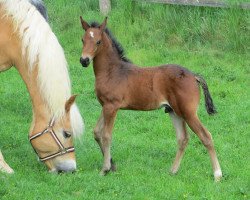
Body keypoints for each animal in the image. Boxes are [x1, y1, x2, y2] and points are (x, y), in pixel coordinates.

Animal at [79, 16, 222, 180]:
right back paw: (173, 171)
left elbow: (106, 135)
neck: (112, 71)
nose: (84, 60)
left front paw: (105, 169)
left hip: (188, 113)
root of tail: (194, 76)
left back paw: (217, 174)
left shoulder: (111, 106)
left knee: (206, 136)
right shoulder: (105, 106)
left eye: (98, 42)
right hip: (174, 111)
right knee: (183, 139)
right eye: (82, 39)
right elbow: (97, 132)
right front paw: (112, 166)